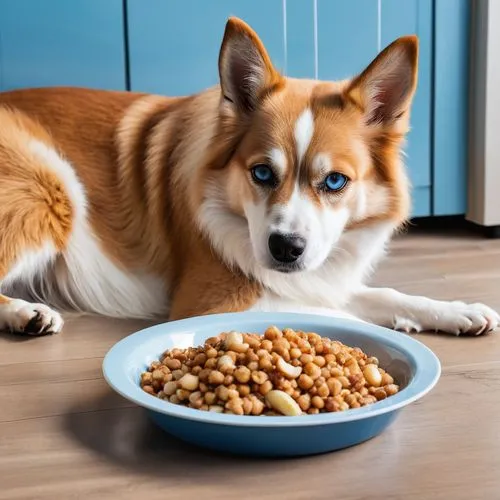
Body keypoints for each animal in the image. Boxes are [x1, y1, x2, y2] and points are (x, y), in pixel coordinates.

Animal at [0, 16, 496, 336]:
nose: (286, 249)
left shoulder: (318, 278)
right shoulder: (207, 301)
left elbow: (385, 294)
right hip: (51, 187)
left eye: (335, 181)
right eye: (261, 172)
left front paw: (457, 311)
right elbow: (324, 315)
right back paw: (26, 313)